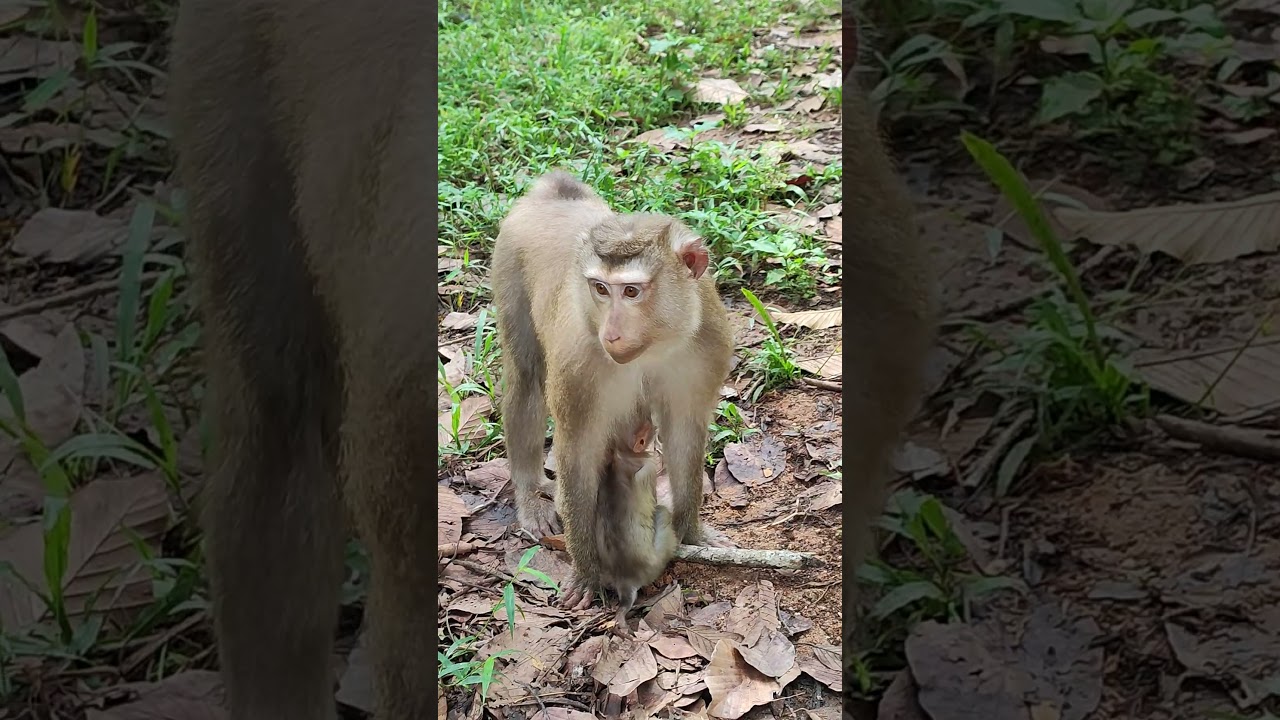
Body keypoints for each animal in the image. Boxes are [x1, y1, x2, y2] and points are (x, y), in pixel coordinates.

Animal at [490, 170, 736, 605]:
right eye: (601, 289)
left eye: (632, 291)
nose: (612, 333)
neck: (655, 345)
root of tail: (554, 192)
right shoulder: (579, 363)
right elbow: (578, 450)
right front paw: (586, 572)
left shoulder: (706, 345)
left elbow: (684, 435)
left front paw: (692, 532)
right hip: (508, 263)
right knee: (527, 375)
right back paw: (530, 496)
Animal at [593, 411, 679, 637]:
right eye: (647, 430)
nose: (655, 425)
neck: (619, 456)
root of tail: (625, 583)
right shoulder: (648, 467)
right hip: (656, 561)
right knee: (663, 514)